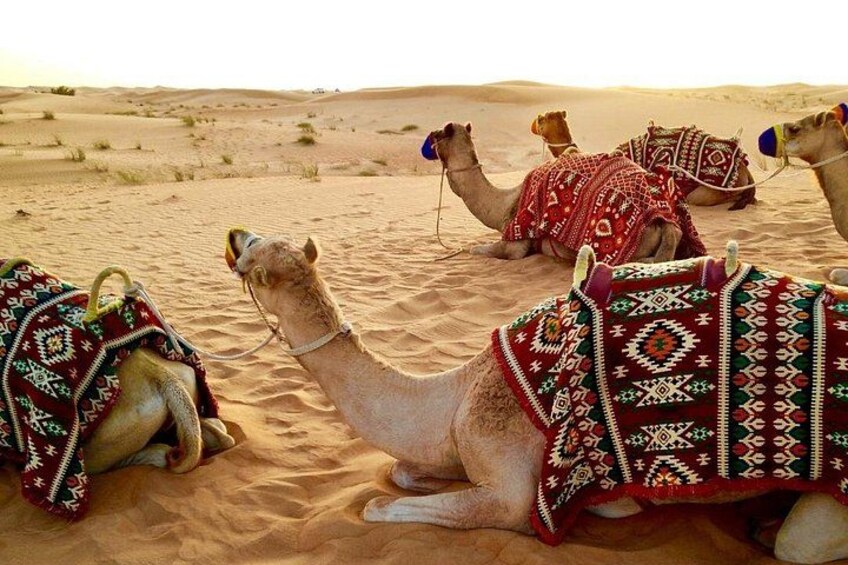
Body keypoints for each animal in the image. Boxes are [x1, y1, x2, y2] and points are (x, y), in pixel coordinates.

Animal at [226, 227, 848, 564]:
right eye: (257, 242)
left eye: (250, 259)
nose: (232, 233)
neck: (456, 393)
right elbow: (404, 472)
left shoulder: (509, 481)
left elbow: (382, 504)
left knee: (798, 545)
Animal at [422, 122, 703, 264]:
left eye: (437, 134)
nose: (427, 142)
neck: (503, 204)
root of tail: (664, 221)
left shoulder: (516, 242)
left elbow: (478, 250)